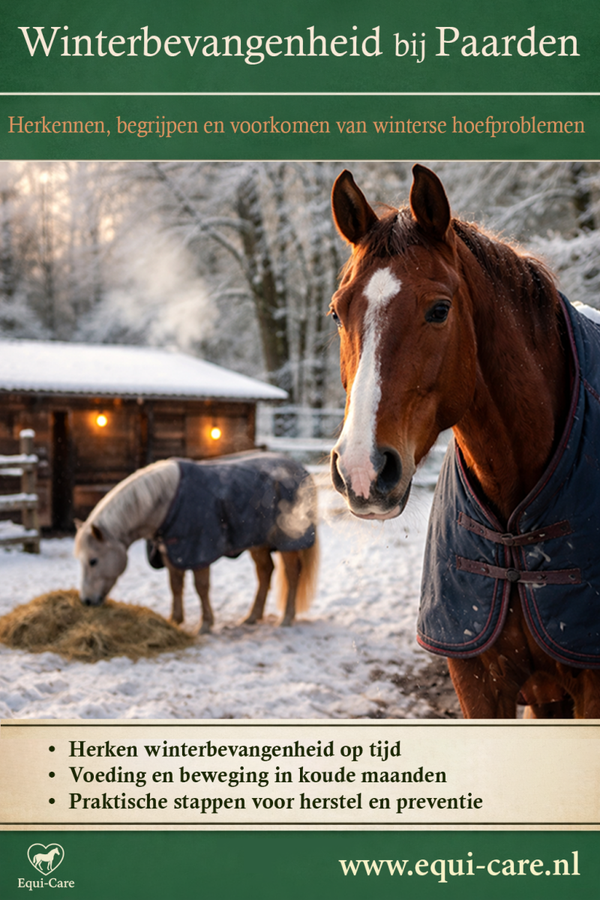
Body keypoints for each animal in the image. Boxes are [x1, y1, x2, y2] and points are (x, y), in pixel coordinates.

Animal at [74, 452, 319, 632]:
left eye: (93, 561)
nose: (86, 601)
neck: (166, 501)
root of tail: (300, 470)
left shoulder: (199, 552)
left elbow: (201, 588)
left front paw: (205, 624)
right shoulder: (173, 552)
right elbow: (175, 586)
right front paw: (175, 619)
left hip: (288, 543)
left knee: (292, 574)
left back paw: (286, 618)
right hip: (257, 543)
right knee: (265, 572)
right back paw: (252, 616)